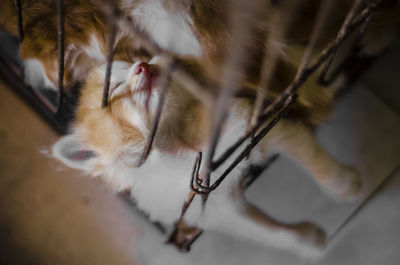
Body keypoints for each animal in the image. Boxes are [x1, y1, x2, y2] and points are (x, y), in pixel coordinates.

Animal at [1, 0, 398, 258]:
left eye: (137, 64)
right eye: (114, 90)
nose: (145, 66)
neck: (179, 150)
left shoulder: (257, 126)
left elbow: (311, 155)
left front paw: (344, 184)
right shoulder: (218, 210)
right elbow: (269, 235)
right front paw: (310, 241)